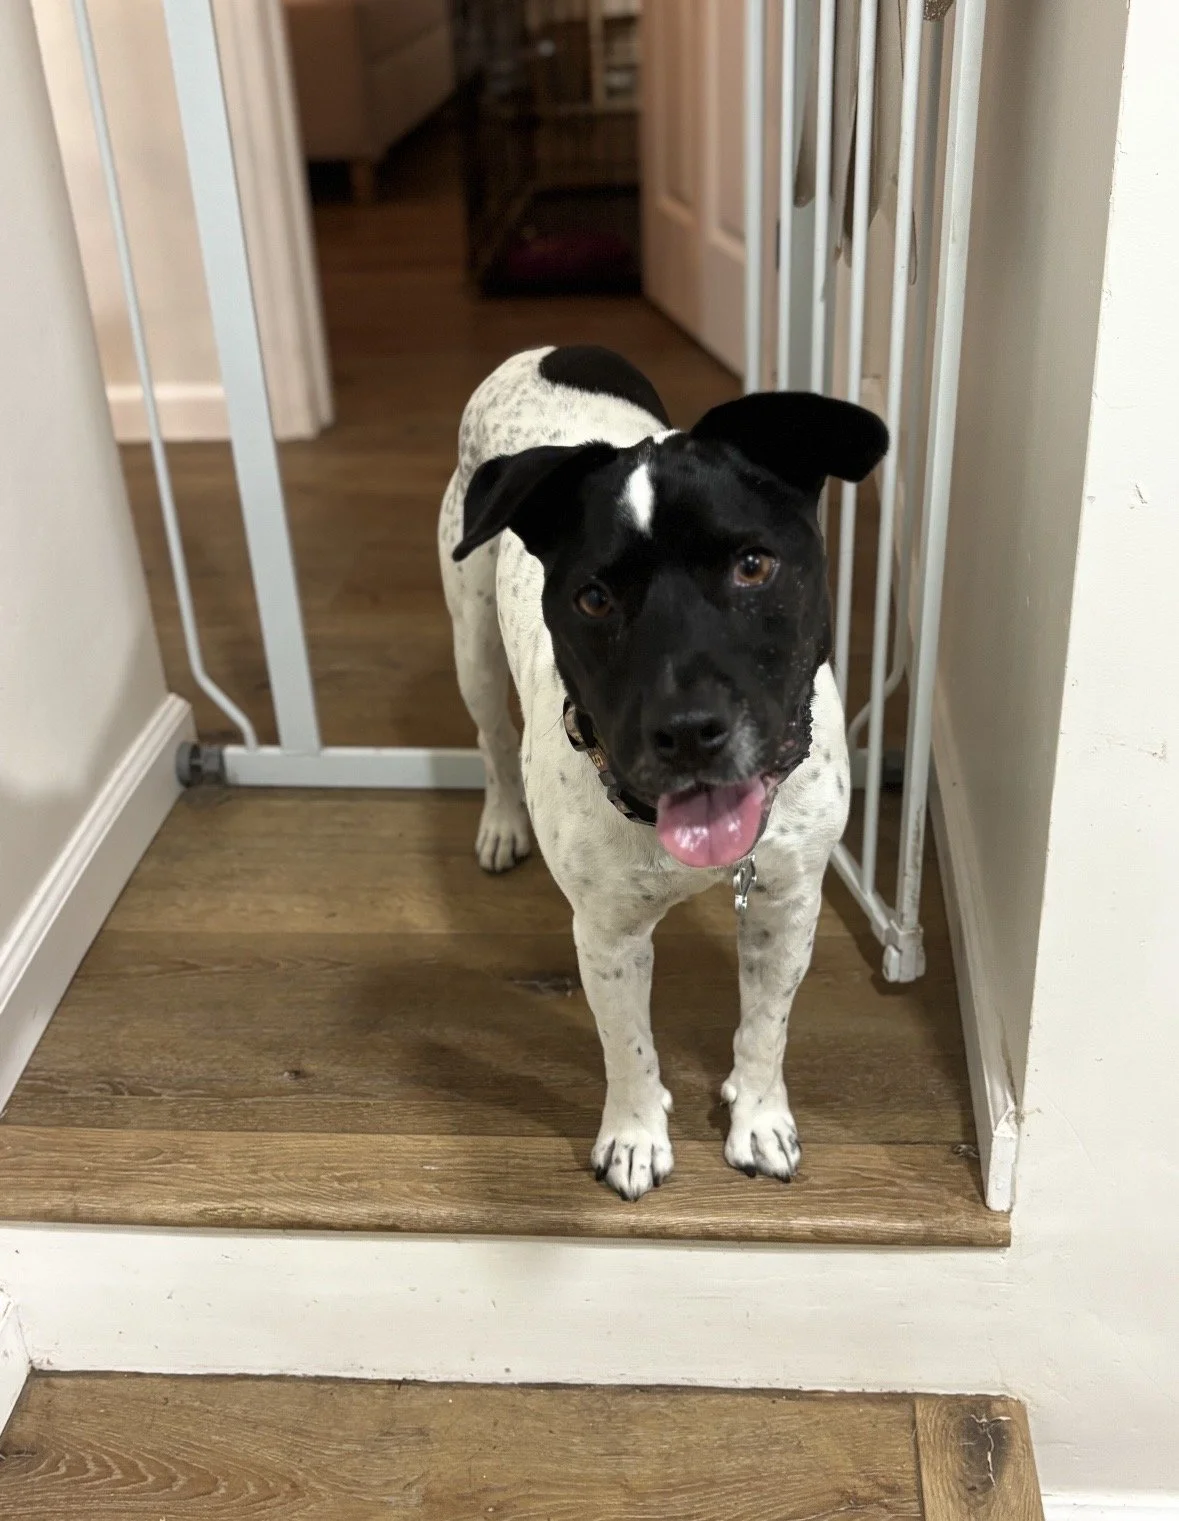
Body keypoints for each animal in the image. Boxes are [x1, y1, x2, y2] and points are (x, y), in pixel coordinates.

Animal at [439, 345, 888, 1200]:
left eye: (753, 566)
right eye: (592, 598)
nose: (686, 731)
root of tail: (547, 349)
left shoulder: (786, 906)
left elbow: (766, 1028)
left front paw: (758, 1117)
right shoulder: (606, 932)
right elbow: (627, 1046)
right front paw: (634, 1136)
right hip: (471, 642)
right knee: (490, 740)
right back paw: (500, 823)